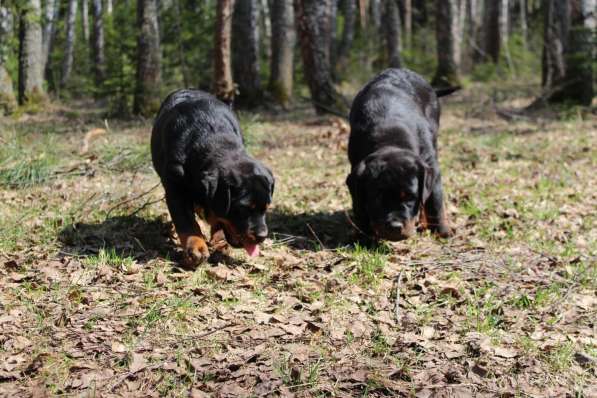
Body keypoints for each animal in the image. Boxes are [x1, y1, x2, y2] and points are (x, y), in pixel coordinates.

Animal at [152, 90, 276, 264]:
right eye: (243, 209)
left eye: (266, 208)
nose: (262, 236)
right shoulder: (175, 189)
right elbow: (186, 221)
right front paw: (196, 246)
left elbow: (218, 216)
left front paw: (219, 238)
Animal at [344, 69, 456, 241]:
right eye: (377, 197)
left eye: (409, 197)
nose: (394, 226)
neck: (390, 138)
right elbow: (360, 206)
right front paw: (364, 236)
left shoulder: (432, 167)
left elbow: (435, 201)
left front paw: (442, 231)